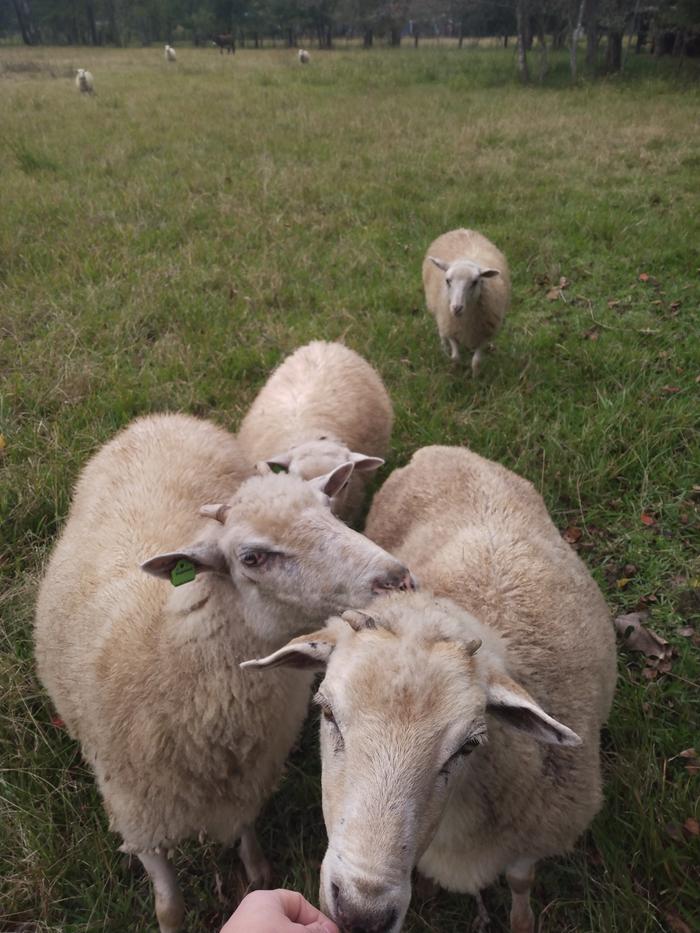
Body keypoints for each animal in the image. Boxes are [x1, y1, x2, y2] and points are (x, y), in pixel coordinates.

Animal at [35, 412, 412, 932]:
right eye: (252, 557)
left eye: (330, 511)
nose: (398, 578)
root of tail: (161, 418)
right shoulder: (137, 813)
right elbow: (169, 907)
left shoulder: (249, 775)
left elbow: (250, 842)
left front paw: (258, 871)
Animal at [243, 442, 616, 932]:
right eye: (326, 712)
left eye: (469, 745)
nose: (362, 914)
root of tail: (441, 448)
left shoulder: (535, 836)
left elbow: (521, 882)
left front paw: (522, 919)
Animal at [424, 228, 512, 376]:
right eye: (447, 280)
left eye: (475, 282)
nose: (456, 308)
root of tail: (461, 229)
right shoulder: (450, 326)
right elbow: (455, 356)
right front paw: (455, 369)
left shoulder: (485, 333)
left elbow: (476, 361)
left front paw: (476, 377)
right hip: (439, 312)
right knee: (441, 332)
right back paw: (444, 350)